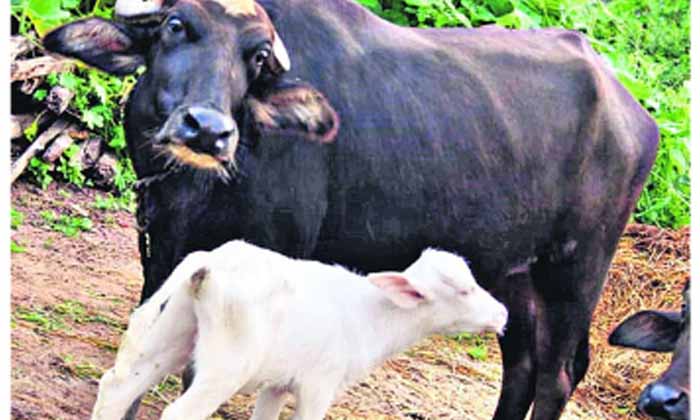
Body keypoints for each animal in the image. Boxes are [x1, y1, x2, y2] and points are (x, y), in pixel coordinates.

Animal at [93, 241, 508, 420]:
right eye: (464, 289)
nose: (502, 314)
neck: (373, 317)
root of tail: (208, 264)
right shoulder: (319, 384)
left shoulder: (278, 382)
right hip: (227, 364)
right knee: (180, 413)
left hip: (172, 332)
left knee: (116, 388)